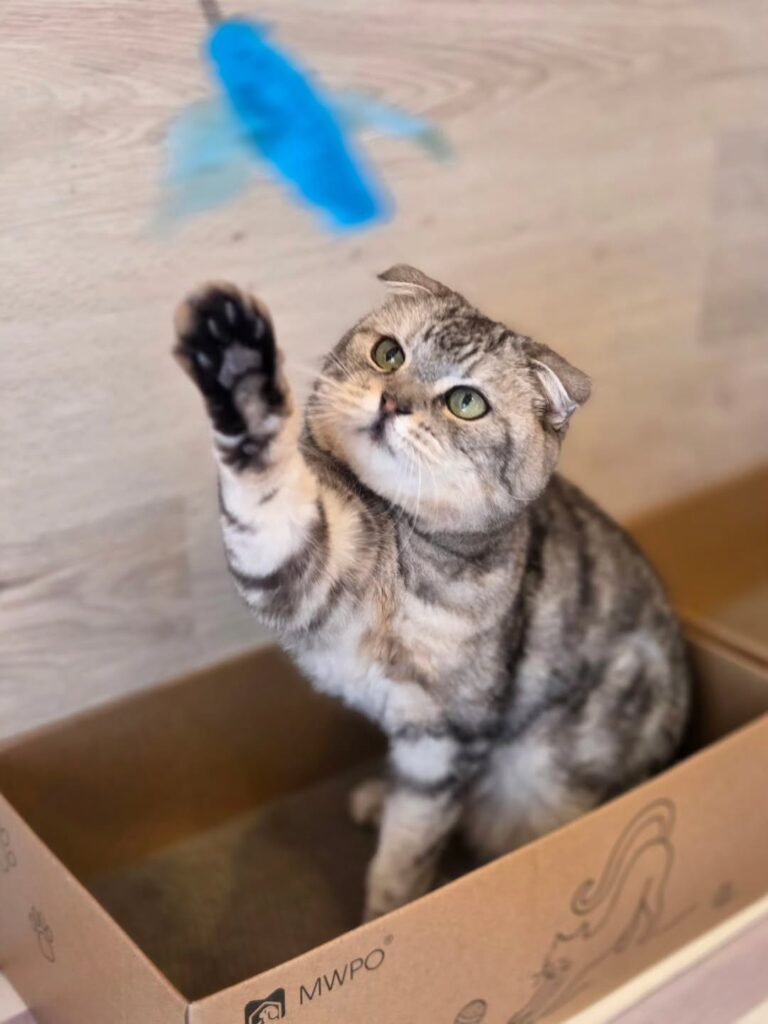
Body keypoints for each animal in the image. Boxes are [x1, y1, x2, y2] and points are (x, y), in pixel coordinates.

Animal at [172, 265, 690, 922]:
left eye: (466, 403)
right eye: (388, 354)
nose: (393, 401)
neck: (401, 537)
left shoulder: (442, 739)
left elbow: (408, 849)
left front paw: (385, 917)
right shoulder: (305, 568)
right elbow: (266, 488)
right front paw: (233, 362)